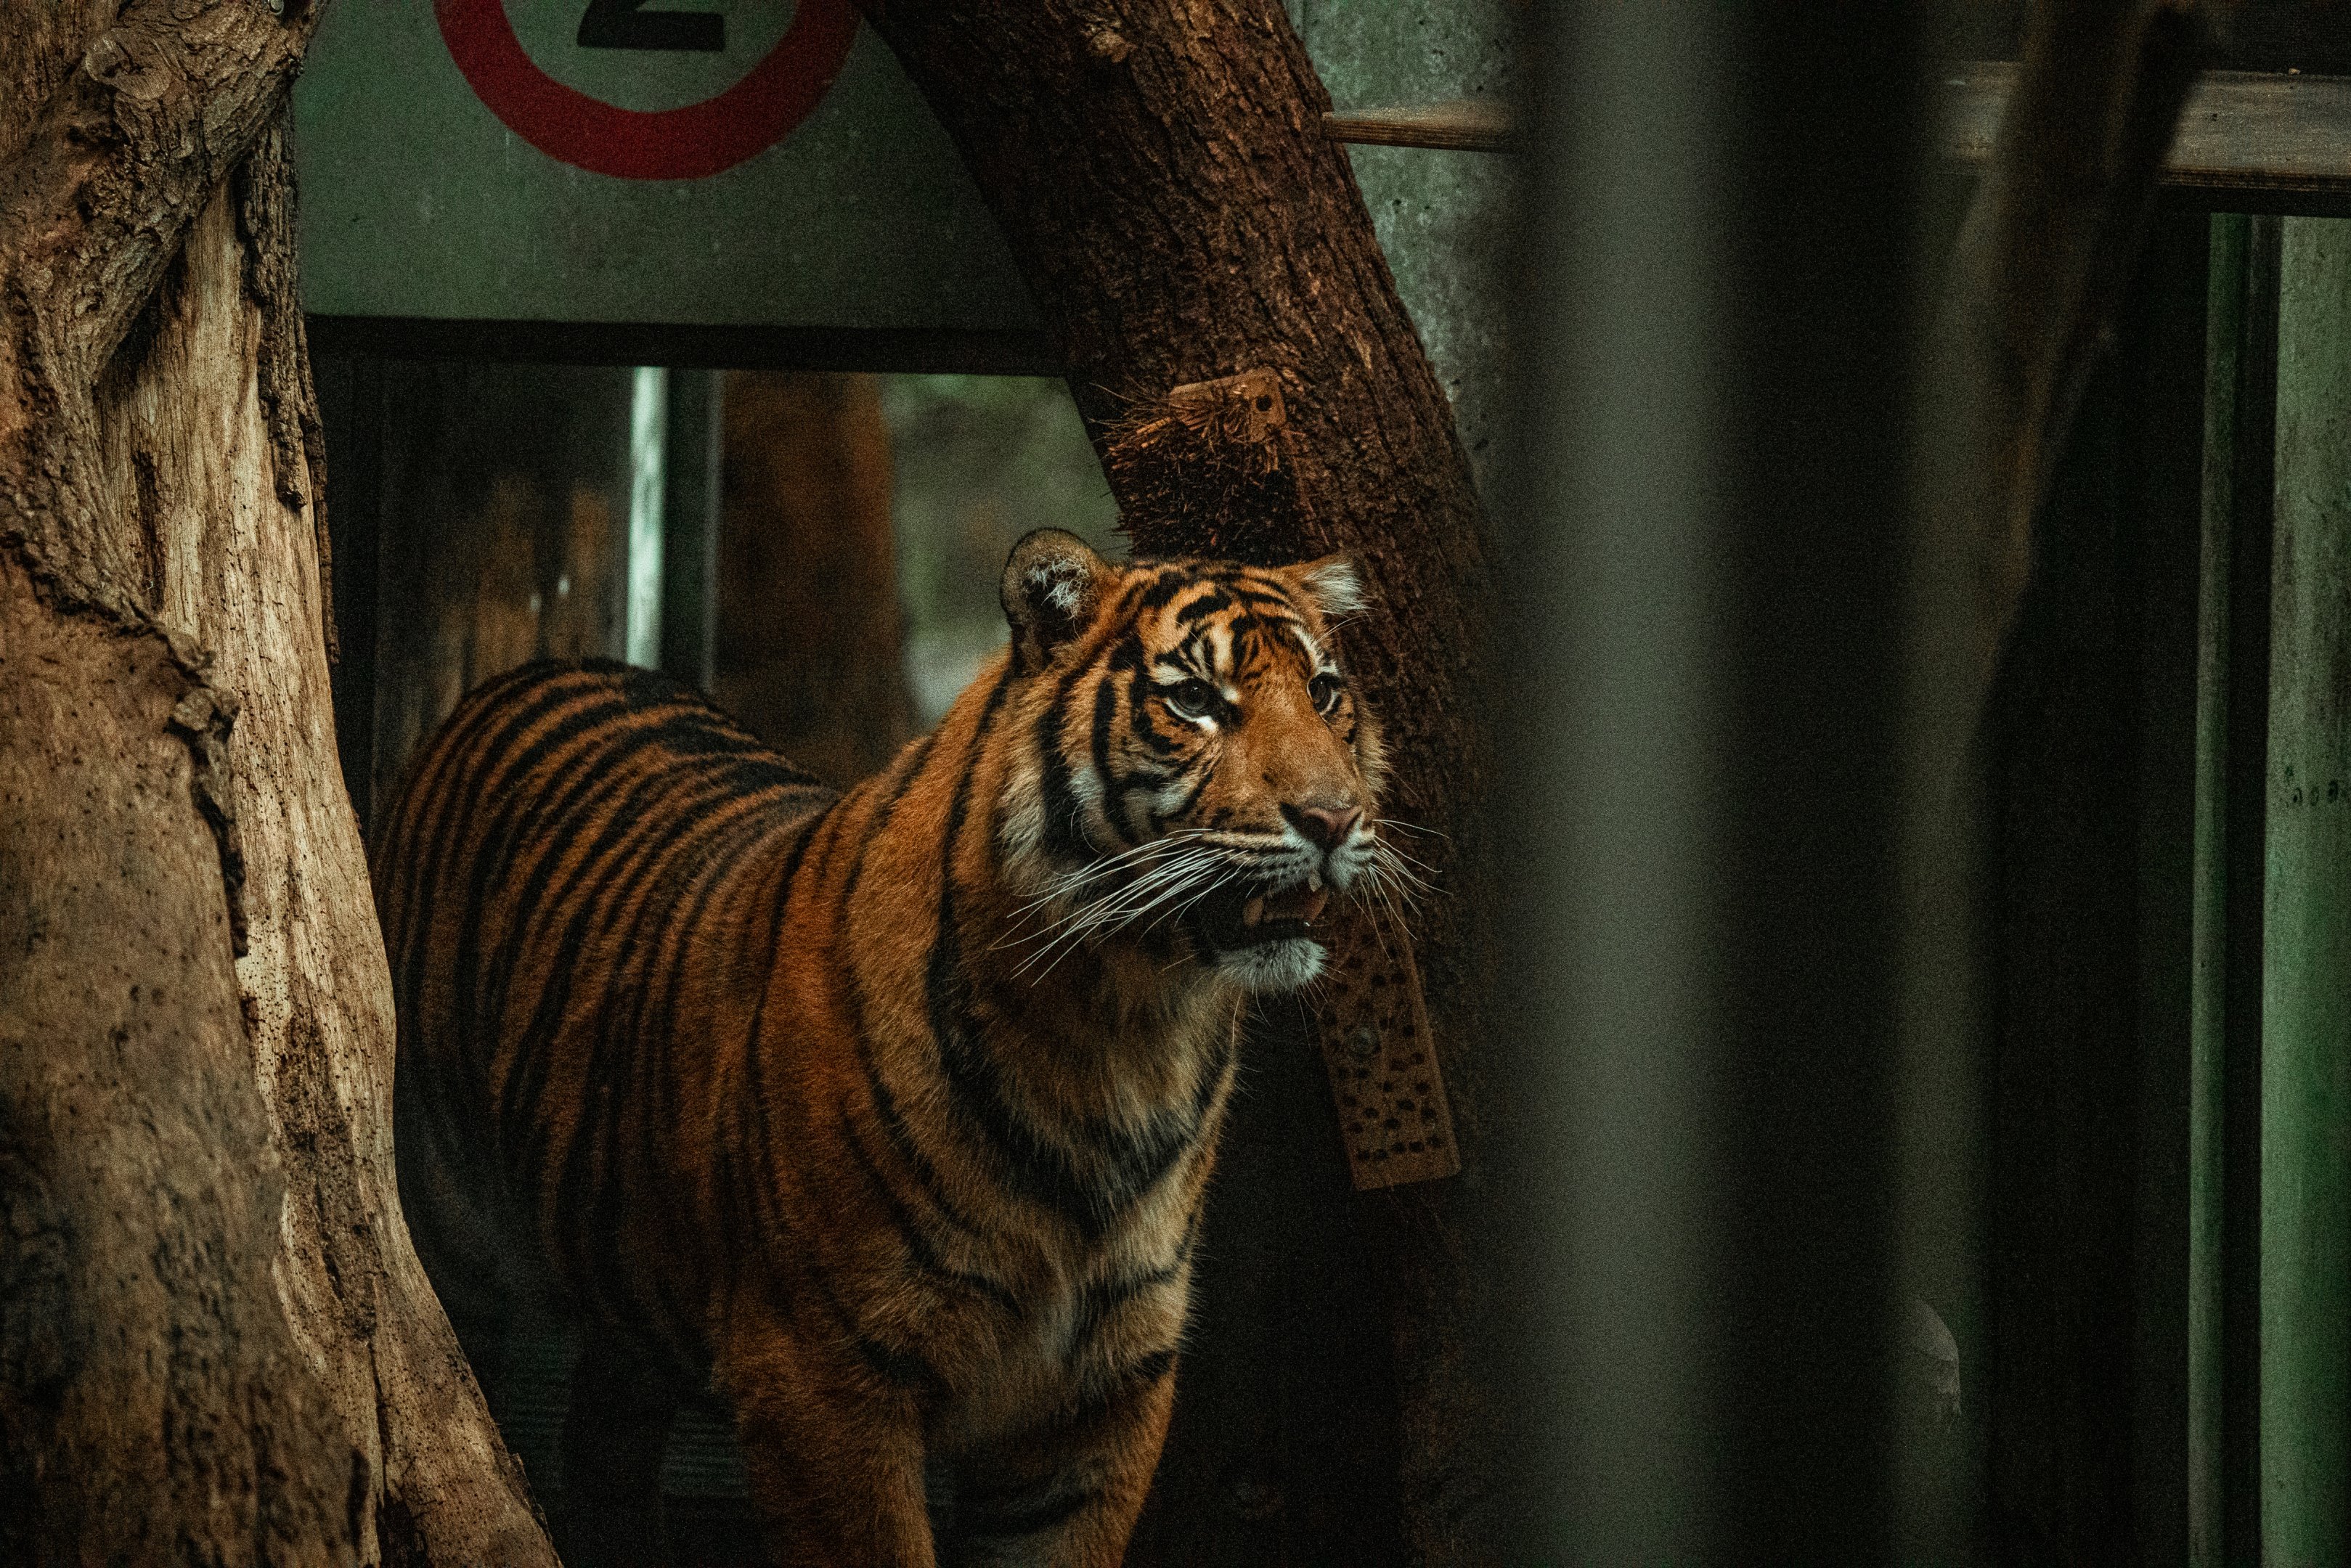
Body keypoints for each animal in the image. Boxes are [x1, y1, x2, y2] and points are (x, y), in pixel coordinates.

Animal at [371, 528, 1386, 1566]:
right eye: (1194, 700)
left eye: (1325, 693)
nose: (1335, 818)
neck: (1126, 1026)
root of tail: (527, 672)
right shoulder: (823, 1376)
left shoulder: (1099, 1394)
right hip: (448, 1234)